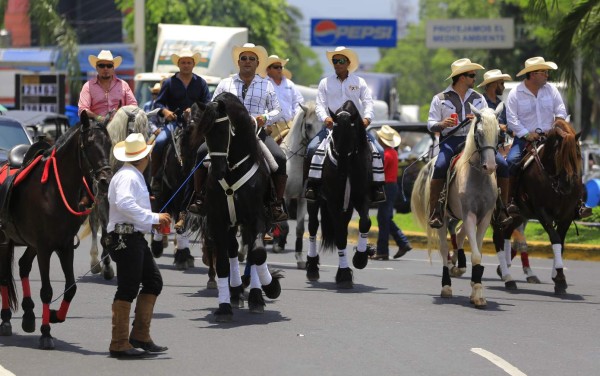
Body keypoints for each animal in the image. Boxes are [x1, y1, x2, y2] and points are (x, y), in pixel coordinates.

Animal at [191, 92, 282, 322]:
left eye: (224, 131)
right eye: (205, 134)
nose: (217, 171)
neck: (233, 167)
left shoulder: (257, 218)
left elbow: (257, 254)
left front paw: (271, 287)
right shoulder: (217, 220)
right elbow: (223, 263)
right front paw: (224, 307)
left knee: (251, 251)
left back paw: (256, 296)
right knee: (233, 250)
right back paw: (236, 292)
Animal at [278, 101, 322, 268]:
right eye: (308, 125)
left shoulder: (302, 198)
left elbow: (299, 228)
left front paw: (300, 259)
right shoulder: (283, 196)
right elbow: (284, 224)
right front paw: (278, 244)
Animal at [308, 99, 372, 288]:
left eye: (352, 136)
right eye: (333, 136)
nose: (342, 173)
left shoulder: (361, 198)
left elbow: (365, 222)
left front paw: (360, 258)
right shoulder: (333, 202)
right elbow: (341, 237)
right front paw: (344, 274)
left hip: (347, 206)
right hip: (313, 200)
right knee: (313, 227)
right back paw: (312, 267)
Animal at [412, 103, 502, 308]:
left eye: (499, 132)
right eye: (479, 132)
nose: (490, 166)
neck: (477, 176)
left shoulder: (484, 218)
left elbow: (478, 252)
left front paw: (476, 290)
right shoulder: (469, 215)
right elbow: (475, 254)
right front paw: (478, 292)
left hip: (456, 216)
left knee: (458, 235)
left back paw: (458, 264)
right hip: (443, 218)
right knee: (445, 248)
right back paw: (447, 285)